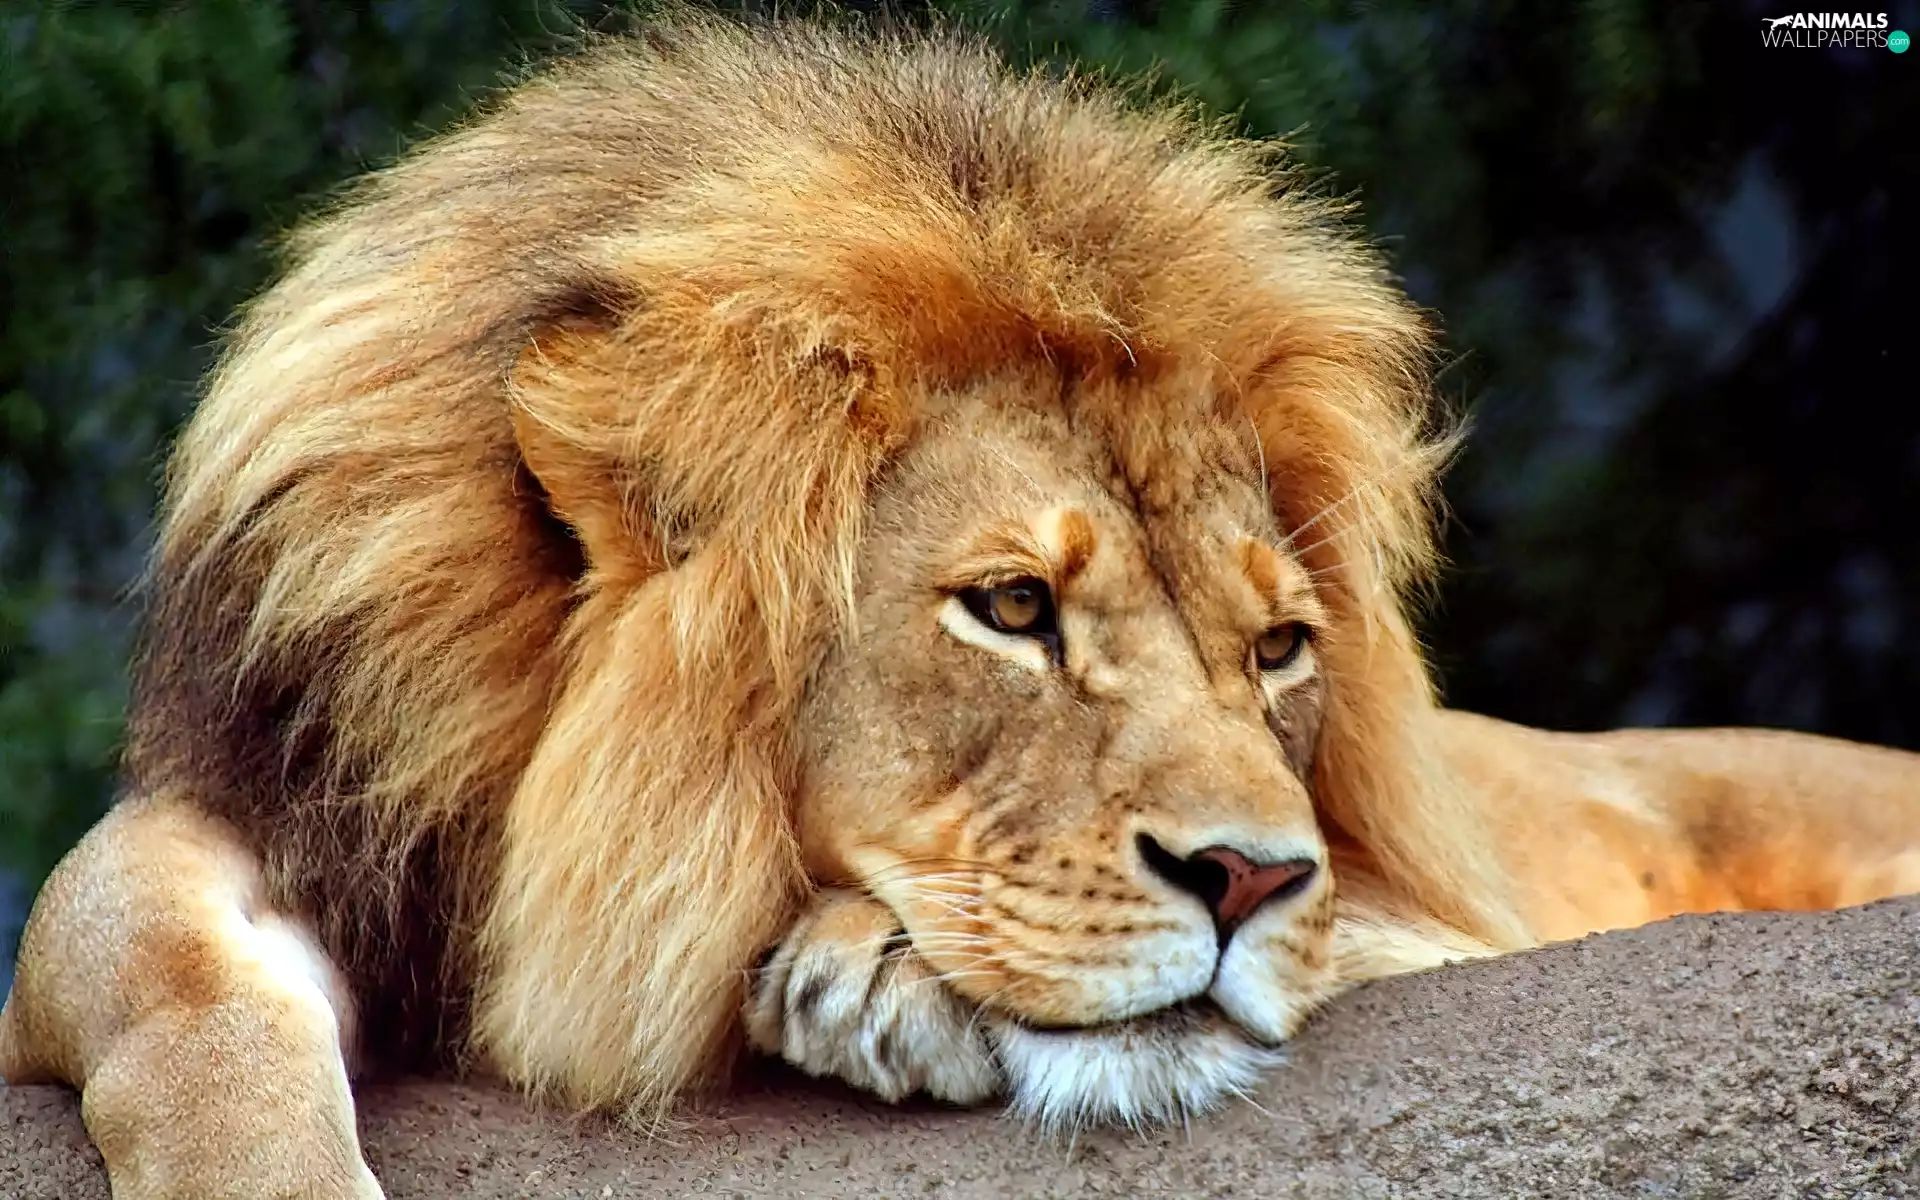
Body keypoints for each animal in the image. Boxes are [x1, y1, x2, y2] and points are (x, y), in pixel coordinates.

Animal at [2, 12, 1916, 1199]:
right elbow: (145, 960)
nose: (1249, 877)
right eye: (1010, 607)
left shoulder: (1430, 918)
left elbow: (1374, 937)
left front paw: (857, 972)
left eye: (1280, 649)